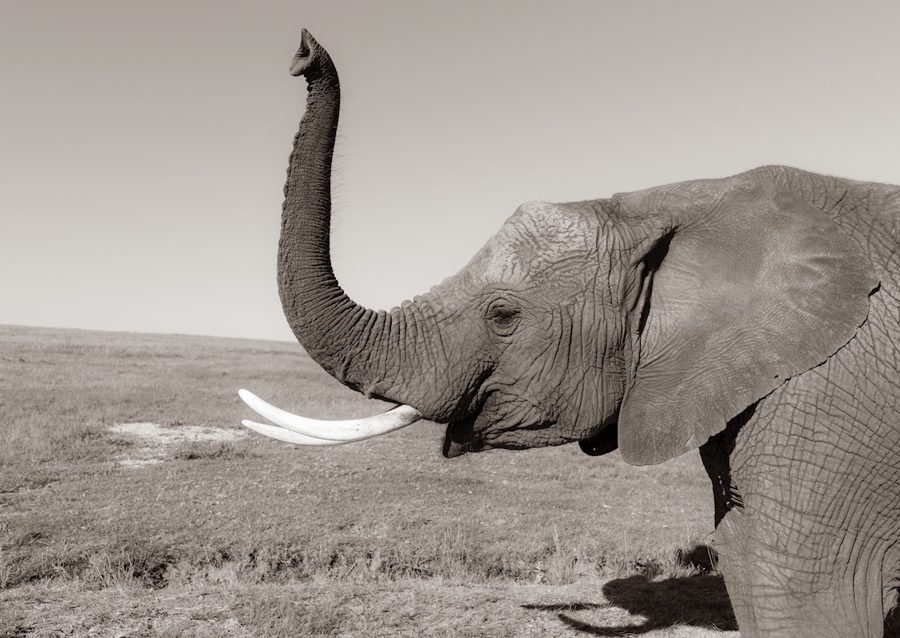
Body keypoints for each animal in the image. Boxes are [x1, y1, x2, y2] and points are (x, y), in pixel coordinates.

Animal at [240, 30, 900, 637]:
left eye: (503, 316)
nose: (303, 52)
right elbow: (742, 559)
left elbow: (802, 590)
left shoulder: (832, 398)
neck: (677, 205)